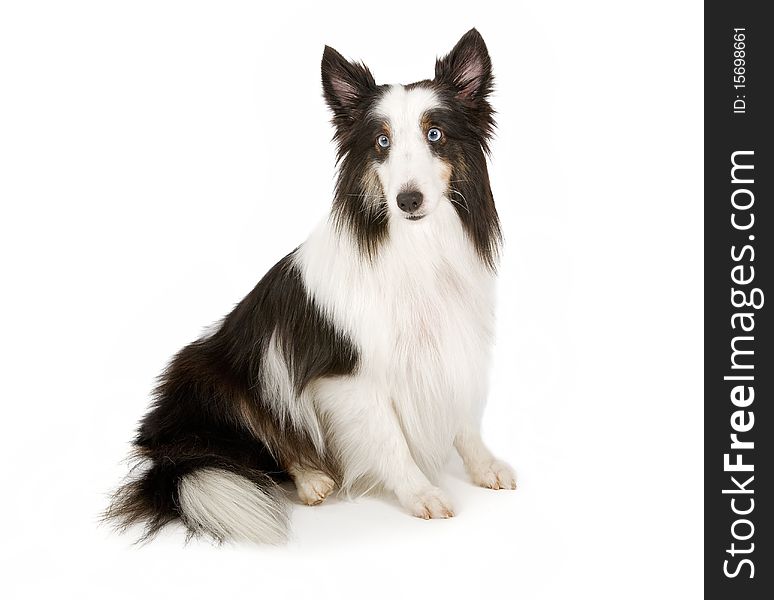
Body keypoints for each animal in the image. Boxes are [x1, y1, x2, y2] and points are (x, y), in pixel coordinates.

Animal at [103, 28, 516, 544]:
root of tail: (169, 454)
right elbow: (390, 438)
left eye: (434, 134)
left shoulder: (451, 341)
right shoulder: (349, 376)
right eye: (381, 142)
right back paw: (312, 478)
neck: (415, 246)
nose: (408, 200)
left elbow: (463, 419)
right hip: (215, 374)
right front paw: (420, 493)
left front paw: (485, 466)